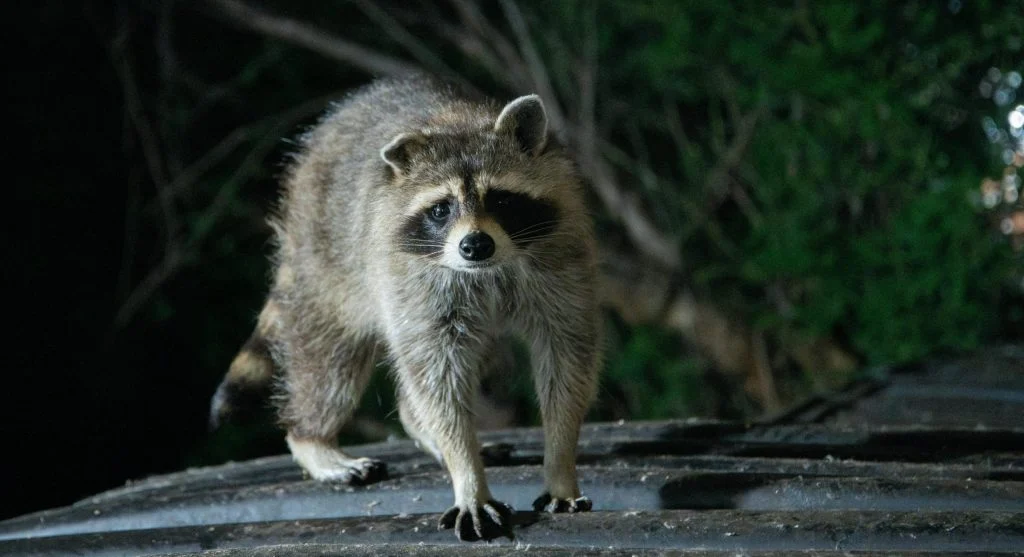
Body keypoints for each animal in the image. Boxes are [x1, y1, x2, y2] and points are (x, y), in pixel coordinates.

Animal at [210, 76, 601, 541]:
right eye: (440, 209)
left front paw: (559, 464)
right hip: (327, 254)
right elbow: (436, 377)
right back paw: (313, 439)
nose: (475, 245)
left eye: (502, 200)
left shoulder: (562, 255)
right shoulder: (414, 279)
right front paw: (467, 477)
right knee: (331, 364)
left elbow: (567, 357)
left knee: (482, 358)